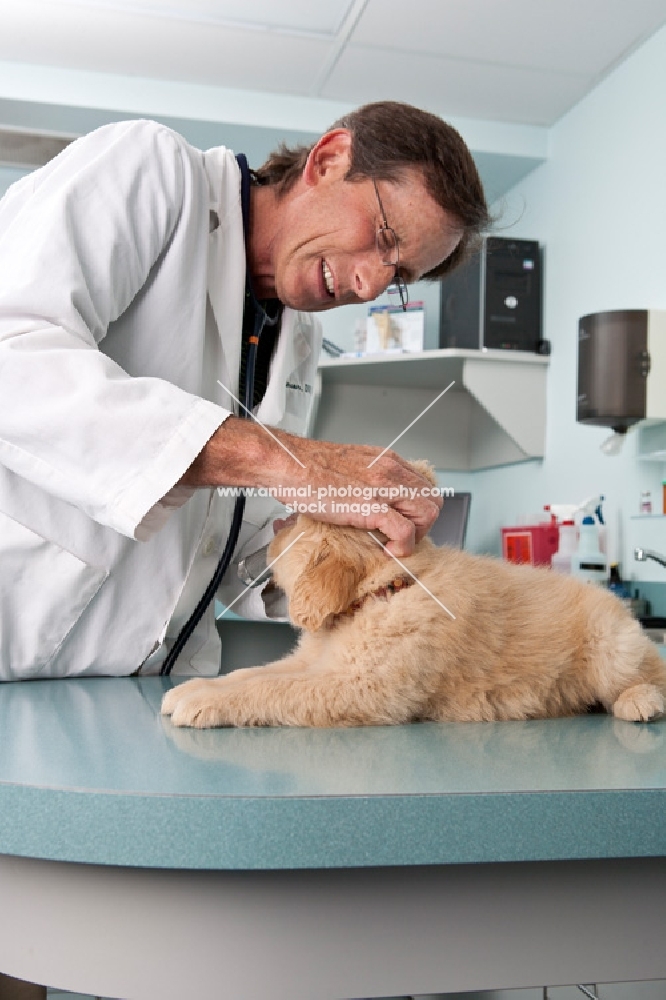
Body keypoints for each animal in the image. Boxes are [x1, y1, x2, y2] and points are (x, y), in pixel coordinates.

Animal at [161, 492, 664, 728]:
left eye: (299, 524)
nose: (277, 525)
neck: (380, 595)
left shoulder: (359, 689)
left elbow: (269, 690)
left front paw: (203, 702)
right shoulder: (310, 663)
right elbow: (251, 674)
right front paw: (198, 687)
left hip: (612, 646)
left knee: (651, 673)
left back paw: (641, 702)